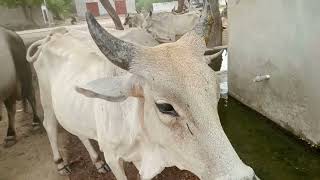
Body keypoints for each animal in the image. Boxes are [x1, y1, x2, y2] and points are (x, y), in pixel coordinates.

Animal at [27, 13, 258, 180]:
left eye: (217, 97)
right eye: (165, 107)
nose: (244, 177)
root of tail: (50, 37)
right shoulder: (113, 157)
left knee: (80, 132)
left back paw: (96, 162)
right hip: (46, 100)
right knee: (50, 125)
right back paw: (60, 163)